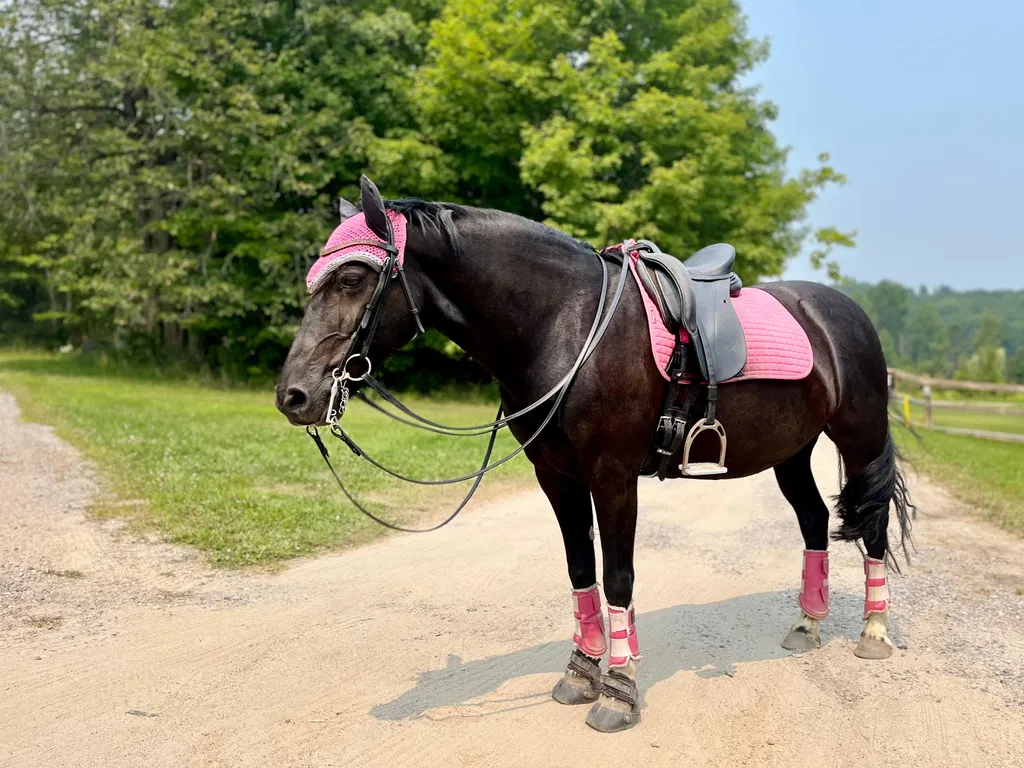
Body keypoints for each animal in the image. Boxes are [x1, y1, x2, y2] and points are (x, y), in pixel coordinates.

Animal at [276, 176, 913, 733]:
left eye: (352, 277)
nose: (293, 395)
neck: (565, 324)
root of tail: (841, 311)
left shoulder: (613, 478)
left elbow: (619, 578)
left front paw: (618, 693)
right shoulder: (556, 477)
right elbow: (581, 570)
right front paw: (581, 674)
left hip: (859, 439)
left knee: (873, 523)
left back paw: (874, 633)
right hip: (792, 452)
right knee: (814, 520)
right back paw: (808, 624)